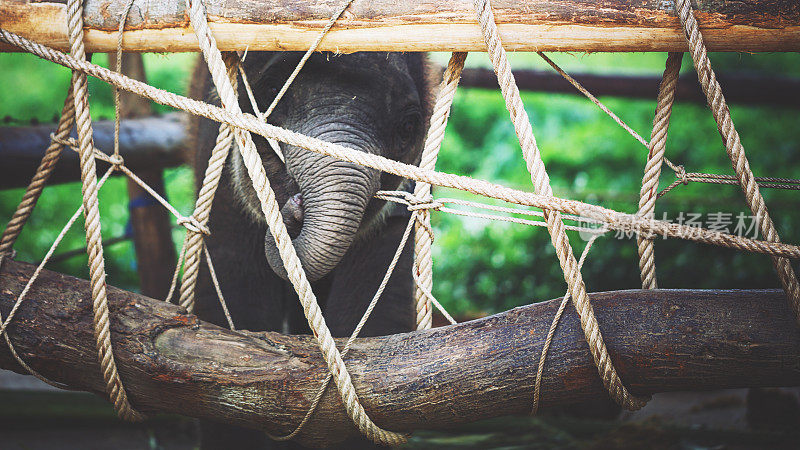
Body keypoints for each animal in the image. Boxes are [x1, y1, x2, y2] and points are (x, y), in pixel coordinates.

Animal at [188, 51, 432, 448]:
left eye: (409, 125)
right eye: (271, 92)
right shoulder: (219, 172)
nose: (295, 207)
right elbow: (239, 304)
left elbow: (375, 318)